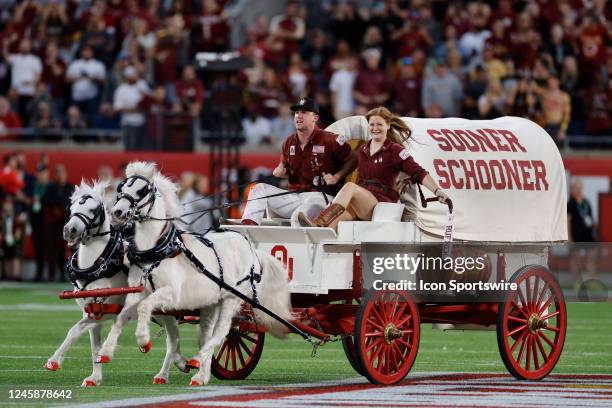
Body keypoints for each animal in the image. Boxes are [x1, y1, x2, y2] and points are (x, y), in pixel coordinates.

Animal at [45, 181, 188, 386]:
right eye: (71, 208)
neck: (98, 265)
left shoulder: (108, 310)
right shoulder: (91, 311)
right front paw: (93, 377)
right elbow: (89, 341)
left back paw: (166, 371)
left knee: (172, 340)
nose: (70, 230)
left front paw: (55, 360)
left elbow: (79, 330)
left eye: (93, 209)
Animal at [97, 162, 292, 386]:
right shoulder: (137, 293)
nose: (117, 212)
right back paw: (201, 374)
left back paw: (197, 360)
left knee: (222, 332)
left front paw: (143, 340)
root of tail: (250, 246)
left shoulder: (171, 294)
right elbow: (122, 317)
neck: (156, 251)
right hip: (211, 302)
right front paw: (106, 351)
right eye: (122, 187)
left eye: (142, 190)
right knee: (208, 334)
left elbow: (144, 308)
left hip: (232, 298)